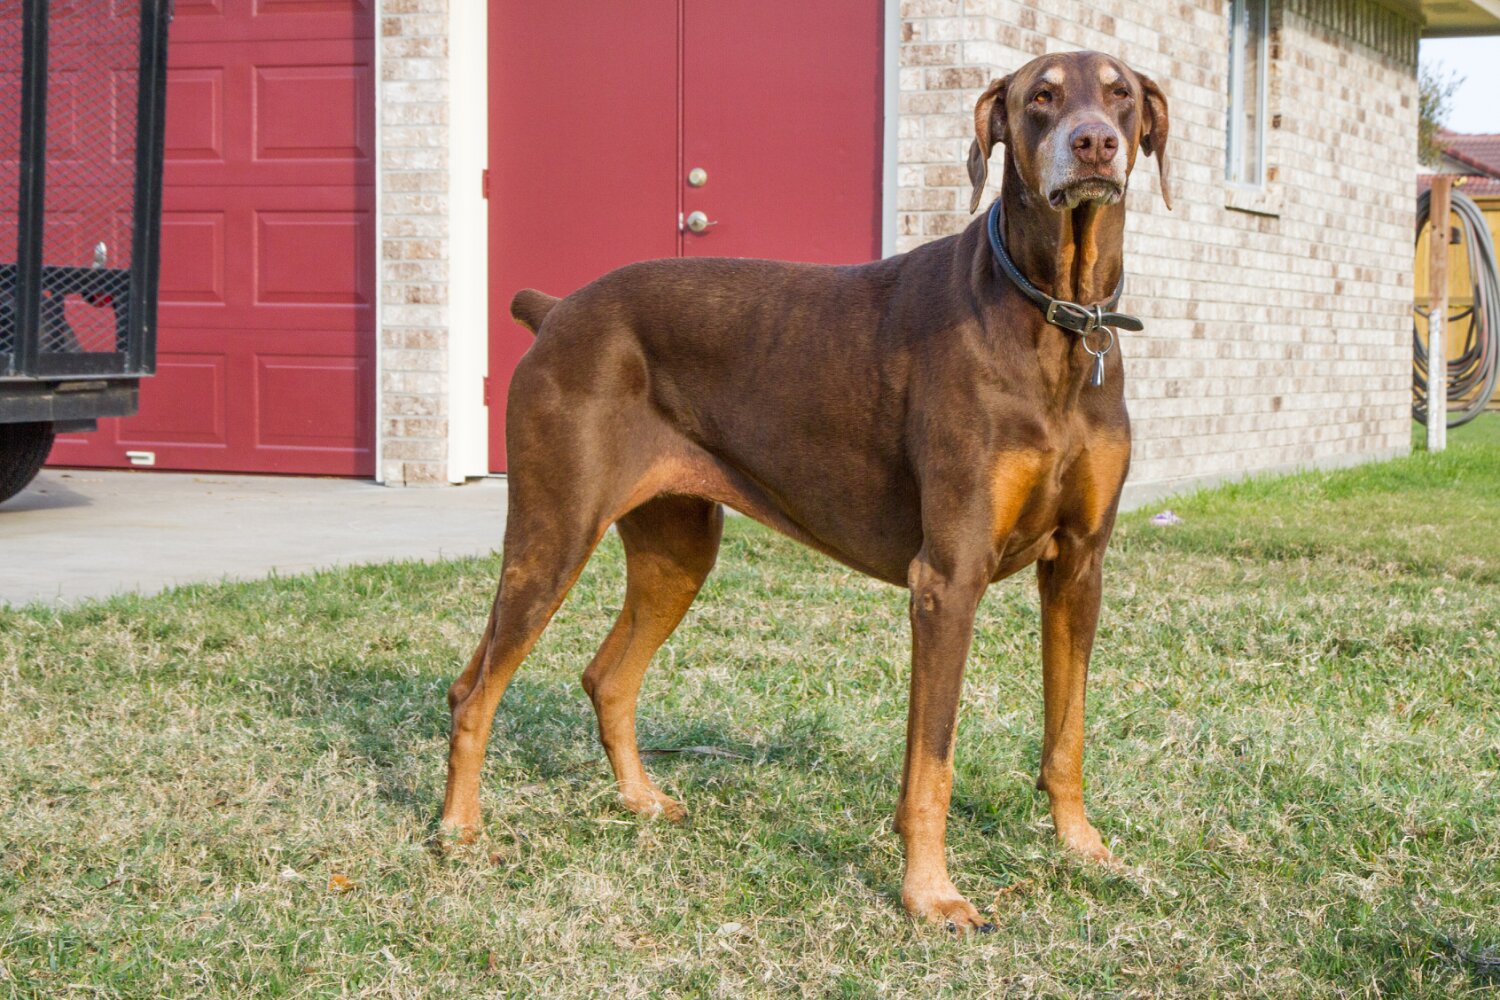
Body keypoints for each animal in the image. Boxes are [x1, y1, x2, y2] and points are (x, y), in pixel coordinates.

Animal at [440, 49, 1169, 932]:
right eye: (1042, 97)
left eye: (1121, 93)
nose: (1094, 143)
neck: (1061, 324)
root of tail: (555, 312)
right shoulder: (948, 579)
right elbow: (932, 762)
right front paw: (931, 894)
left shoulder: (1079, 567)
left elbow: (1068, 734)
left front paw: (1083, 849)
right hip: (554, 529)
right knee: (475, 690)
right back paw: (459, 831)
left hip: (678, 546)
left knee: (604, 675)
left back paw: (641, 801)